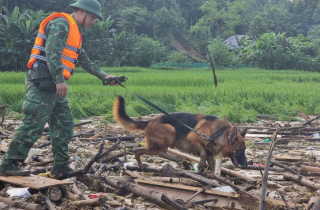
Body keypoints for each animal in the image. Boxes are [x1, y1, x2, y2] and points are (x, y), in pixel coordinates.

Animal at [114, 96, 249, 171]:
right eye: (239, 151)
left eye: (245, 150)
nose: (246, 164)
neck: (218, 133)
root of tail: (150, 121)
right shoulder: (193, 138)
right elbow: (203, 153)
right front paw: (200, 164)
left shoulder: (211, 154)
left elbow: (212, 165)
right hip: (170, 131)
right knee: (161, 152)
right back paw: (178, 158)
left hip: (152, 147)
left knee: (138, 151)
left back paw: (141, 165)